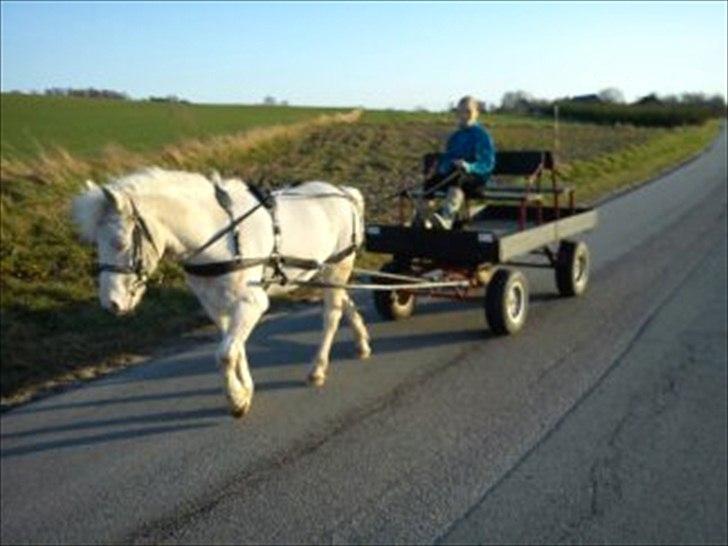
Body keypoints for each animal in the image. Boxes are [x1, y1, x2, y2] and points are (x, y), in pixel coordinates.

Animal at [72, 167, 372, 417]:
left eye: (120, 242)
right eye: (96, 243)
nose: (111, 303)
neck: (221, 234)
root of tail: (344, 192)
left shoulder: (252, 302)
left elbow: (225, 354)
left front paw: (236, 400)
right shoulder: (215, 305)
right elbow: (234, 348)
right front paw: (245, 390)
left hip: (337, 266)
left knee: (331, 315)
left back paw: (318, 369)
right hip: (320, 272)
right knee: (345, 301)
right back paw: (362, 342)